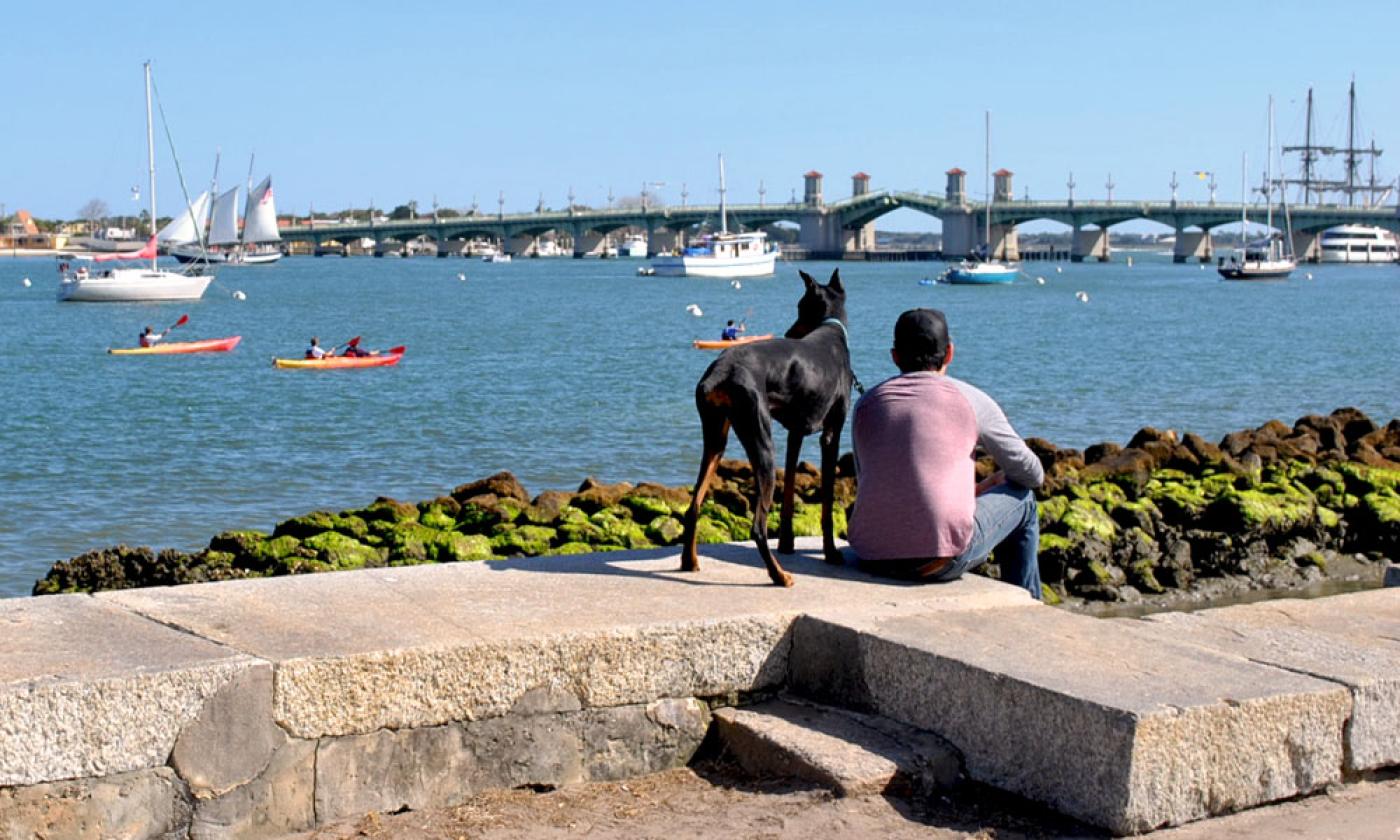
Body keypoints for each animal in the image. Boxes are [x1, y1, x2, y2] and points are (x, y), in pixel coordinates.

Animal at [677, 268, 851, 585]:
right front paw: (831, 552)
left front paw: (787, 543)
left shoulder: (795, 433)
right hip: (762, 443)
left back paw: (689, 561)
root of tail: (720, 371)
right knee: (757, 527)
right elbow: (827, 504)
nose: (790, 333)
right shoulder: (832, 433)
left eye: (799, 306)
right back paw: (779, 575)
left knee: (693, 505)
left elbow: (790, 490)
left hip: (716, 440)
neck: (830, 329)